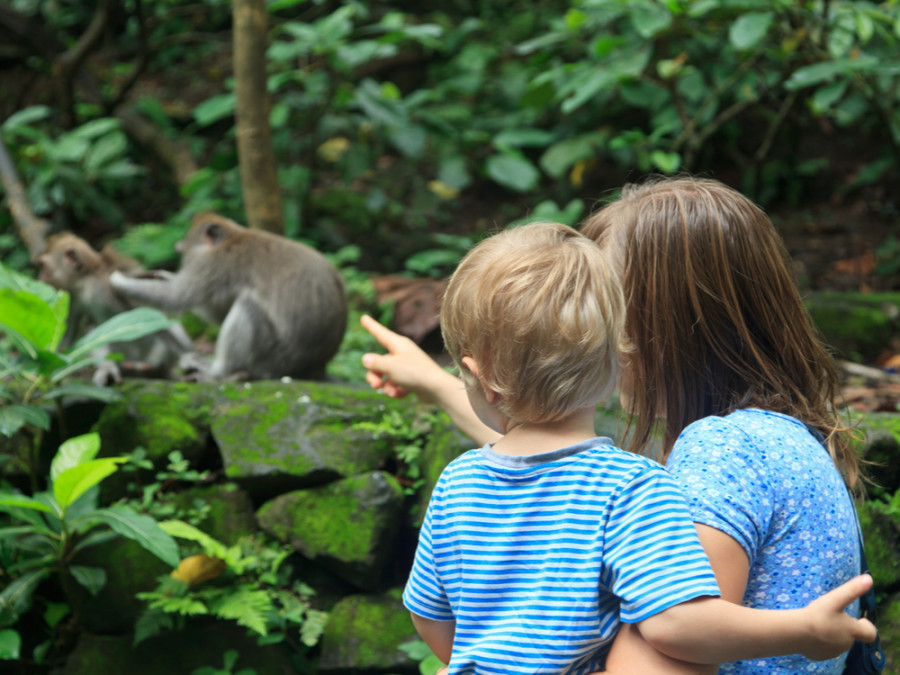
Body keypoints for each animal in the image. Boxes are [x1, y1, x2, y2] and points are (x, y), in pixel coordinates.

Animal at [36, 231, 193, 386]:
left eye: (44, 266)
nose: (39, 278)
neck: (85, 283)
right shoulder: (73, 296)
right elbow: (69, 328)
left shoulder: (108, 284)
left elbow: (151, 315)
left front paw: (192, 360)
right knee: (94, 329)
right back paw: (108, 368)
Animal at [110, 215, 352, 382]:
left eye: (183, 252)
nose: (181, 260)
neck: (234, 236)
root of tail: (316, 368)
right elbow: (217, 310)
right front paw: (160, 275)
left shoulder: (215, 264)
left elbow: (178, 297)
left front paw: (118, 280)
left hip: (274, 361)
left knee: (248, 306)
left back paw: (219, 371)